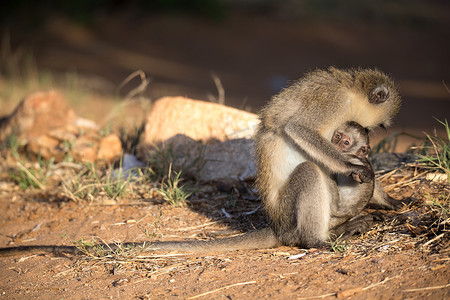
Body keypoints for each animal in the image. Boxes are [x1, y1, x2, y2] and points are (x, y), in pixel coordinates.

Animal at [256, 67, 400, 247]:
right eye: (376, 126)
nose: (368, 132)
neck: (352, 93)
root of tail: (278, 228)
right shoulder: (334, 100)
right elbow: (298, 128)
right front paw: (352, 167)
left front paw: (388, 199)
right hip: (287, 214)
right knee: (310, 170)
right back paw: (318, 240)